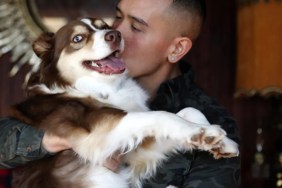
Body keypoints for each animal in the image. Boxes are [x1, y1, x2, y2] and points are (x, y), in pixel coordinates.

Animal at [9, 18, 238, 188]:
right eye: (78, 38)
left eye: (104, 26)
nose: (115, 35)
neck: (105, 88)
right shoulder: (97, 132)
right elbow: (162, 115)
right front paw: (203, 133)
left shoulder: (133, 150)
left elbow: (188, 110)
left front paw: (219, 141)